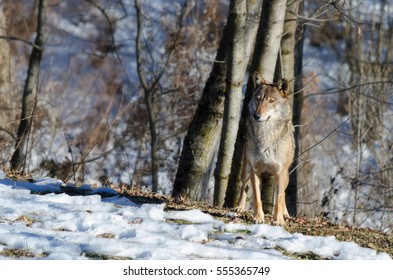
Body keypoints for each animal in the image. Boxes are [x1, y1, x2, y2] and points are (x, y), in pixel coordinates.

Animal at [236, 70, 294, 225]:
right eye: (258, 99)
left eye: (271, 101)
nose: (256, 115)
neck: (267, 135)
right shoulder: (255, 171)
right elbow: (257, 198)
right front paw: (258, 218)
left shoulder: (280, 173)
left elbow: (279, 199)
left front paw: (278, 221)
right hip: (246, 171)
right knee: (244, 187)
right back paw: (239, 208)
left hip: (285, 177)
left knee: (283, 194)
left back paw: (285, 214)